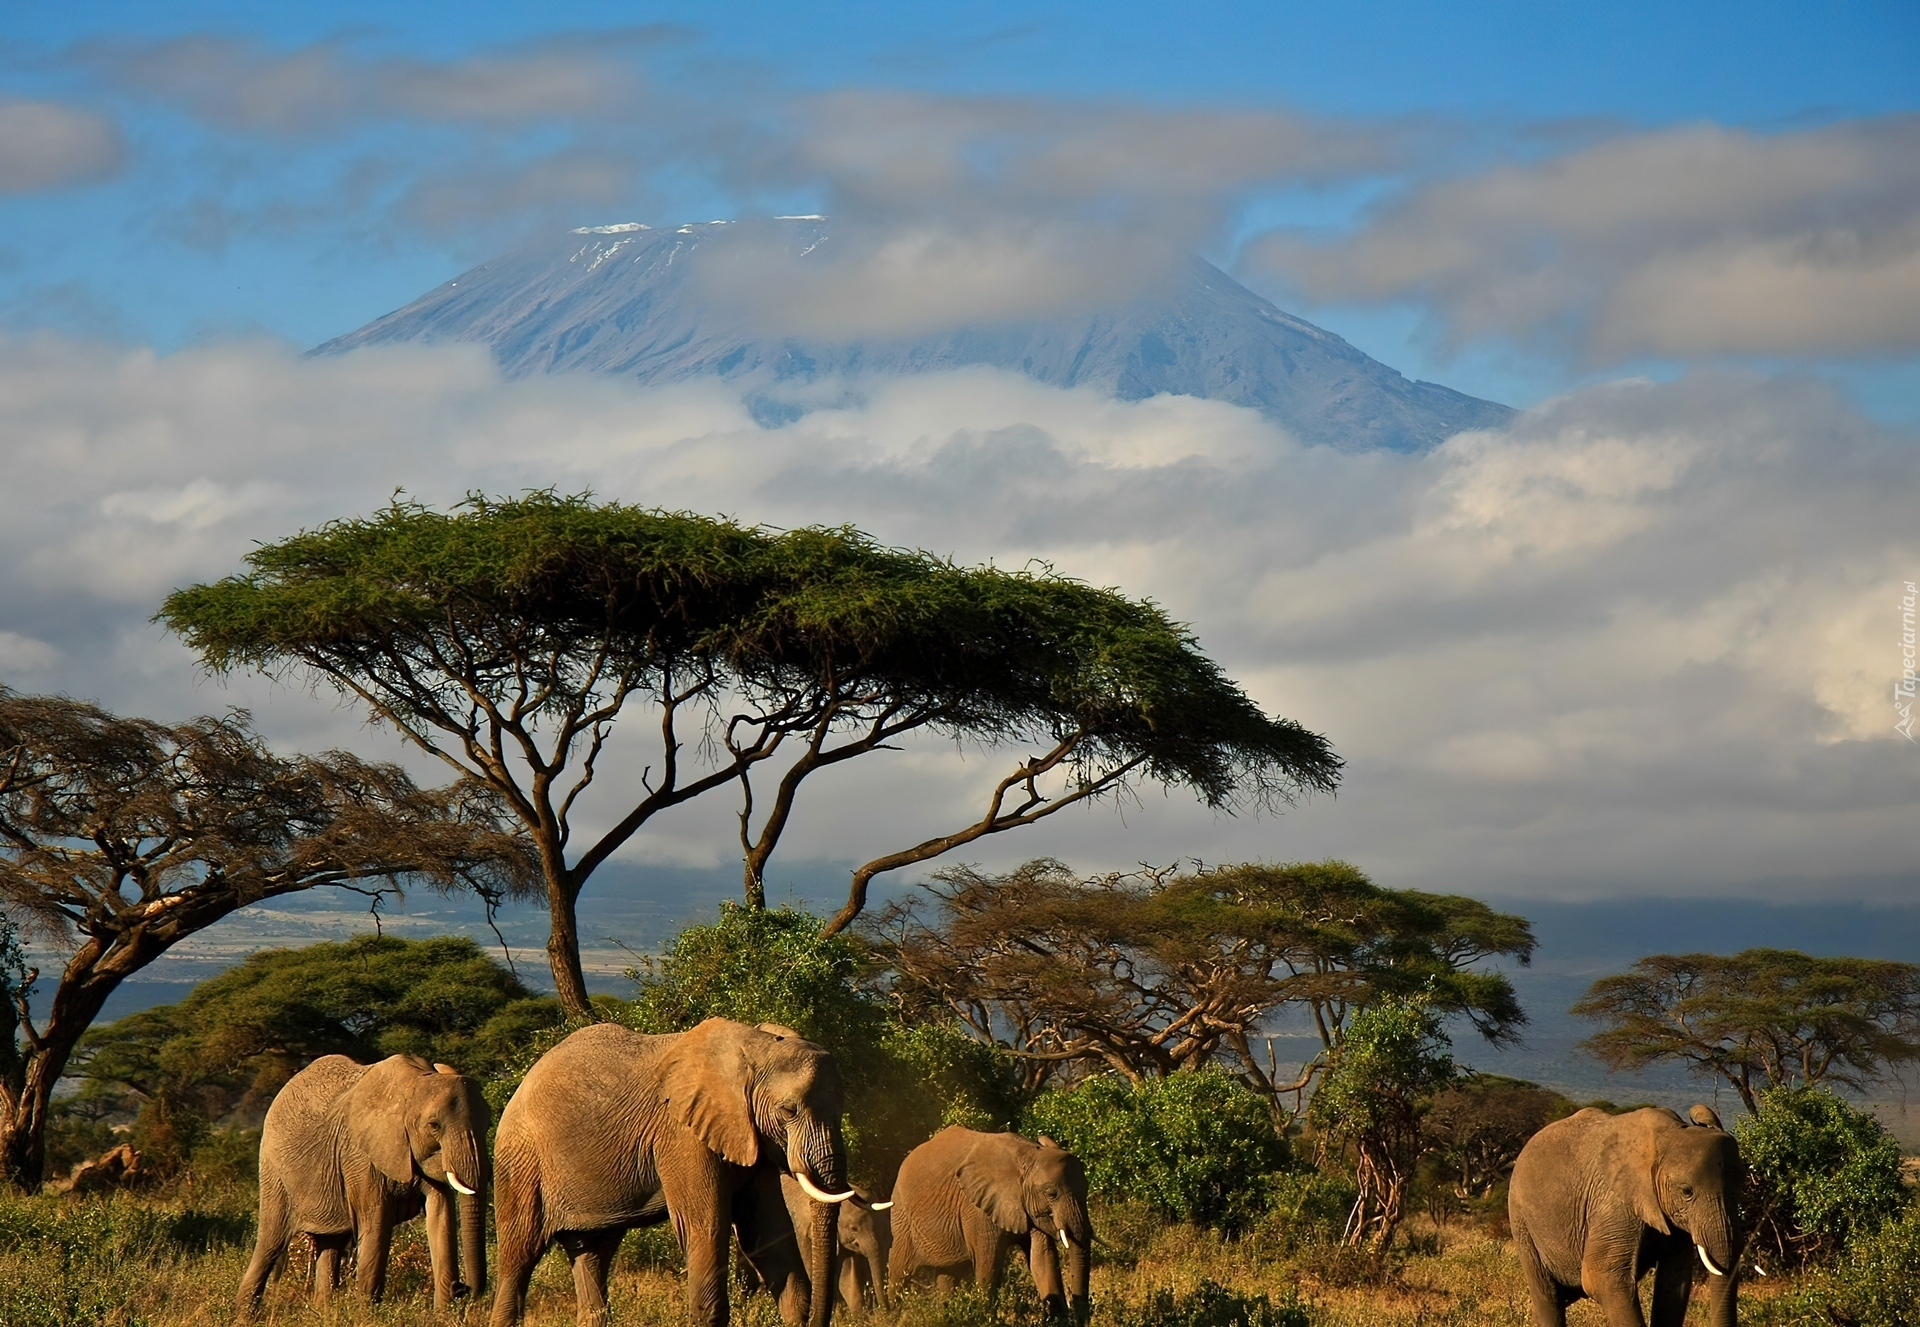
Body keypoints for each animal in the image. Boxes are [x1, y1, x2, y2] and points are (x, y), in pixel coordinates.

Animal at [237, 1060, 491, 1321]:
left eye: (489, 1125)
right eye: (434, 1126)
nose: (461, 1288)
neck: (413, 1082)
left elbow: (441, 1218)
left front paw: (442, 1316)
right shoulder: (359, 1156)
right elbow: (376, 1223)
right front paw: (368, 1318)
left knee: (330, 1243)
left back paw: (324, 1313)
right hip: (274, 1172)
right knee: (271, 1242)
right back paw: (245, 1317)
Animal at [491, 1013, 860, 1327]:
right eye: (789, 1110)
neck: (755, 1046)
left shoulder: (753, 1136)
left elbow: (766, 1235)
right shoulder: (682, 1134)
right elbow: (706, 1229)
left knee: (592, 1256)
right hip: (520, 1162)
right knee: (518, 1255)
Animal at [887, 1129, 1090, 1321]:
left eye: (1087, 1188)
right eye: (1051, 1193)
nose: (1083, 1318)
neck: (1028, 1155)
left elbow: (1042, 1258)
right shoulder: (977, 1209)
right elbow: (988, 1266)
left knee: (948, 1275)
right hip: (902, 1216)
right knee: (899, 1271)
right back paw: (889, 1316)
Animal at [1505, 1098, 1751, 1327]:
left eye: (1742, 1183)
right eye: (1686, 1191)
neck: (1671, 1133)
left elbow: (1674, 1283)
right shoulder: (1614, 1204)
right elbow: (1602, 1278)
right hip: (1521, 1221)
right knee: (1548, 1298)